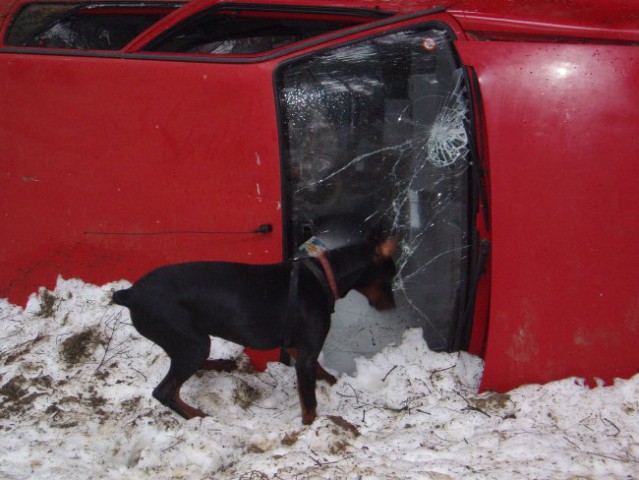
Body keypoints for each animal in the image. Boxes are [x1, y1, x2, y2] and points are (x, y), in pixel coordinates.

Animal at [112, 237, 398, 424]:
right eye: (390, 278)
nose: (392, 306)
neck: (323, 276)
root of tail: (130, 294)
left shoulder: (298, 346)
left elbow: (323, 372)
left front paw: (335, 384)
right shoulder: (306, 354)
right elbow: (309, 402)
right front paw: (310, 427)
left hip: (189, 341)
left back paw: (222, 365)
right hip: (190, 341)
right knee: (165, 391)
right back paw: (197, 416)